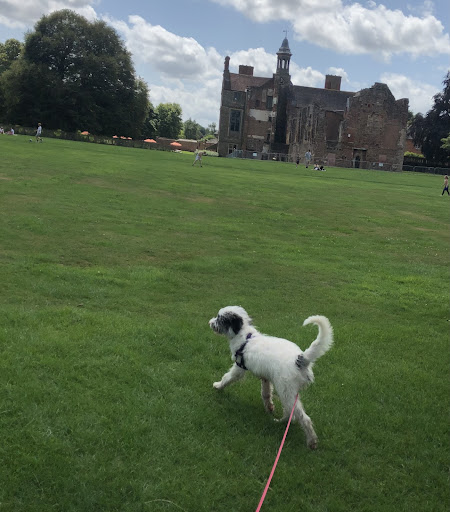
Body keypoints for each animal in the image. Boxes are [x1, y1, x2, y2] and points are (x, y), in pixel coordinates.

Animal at [209, 306, 333, 449]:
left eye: (220, 318)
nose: (210, 322)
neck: (245, 337)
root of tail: (300, 359)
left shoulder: (239, 368)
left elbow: (227, 377)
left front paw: (218, 386)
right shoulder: (266, 378)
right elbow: (266, 393)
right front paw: (269, 407)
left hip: (285, 391)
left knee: (302, 418)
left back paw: (311, 441)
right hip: (287, 392)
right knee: (291, 413)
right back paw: (282, 422)